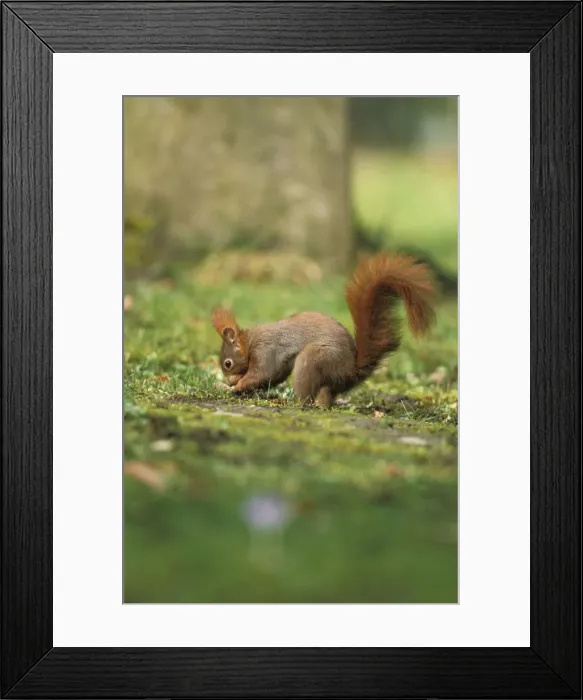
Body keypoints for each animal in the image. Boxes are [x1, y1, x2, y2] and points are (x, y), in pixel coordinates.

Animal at [211, 253, 437, 407]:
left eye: (228, 363)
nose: (229, 379)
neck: (249, 342)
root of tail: (351, 371)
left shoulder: (266, 350)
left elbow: (263, 373)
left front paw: (237, 386)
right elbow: (272, 377)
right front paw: (233, 386)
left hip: (315, 359)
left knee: (311, 397)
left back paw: (294, 403)